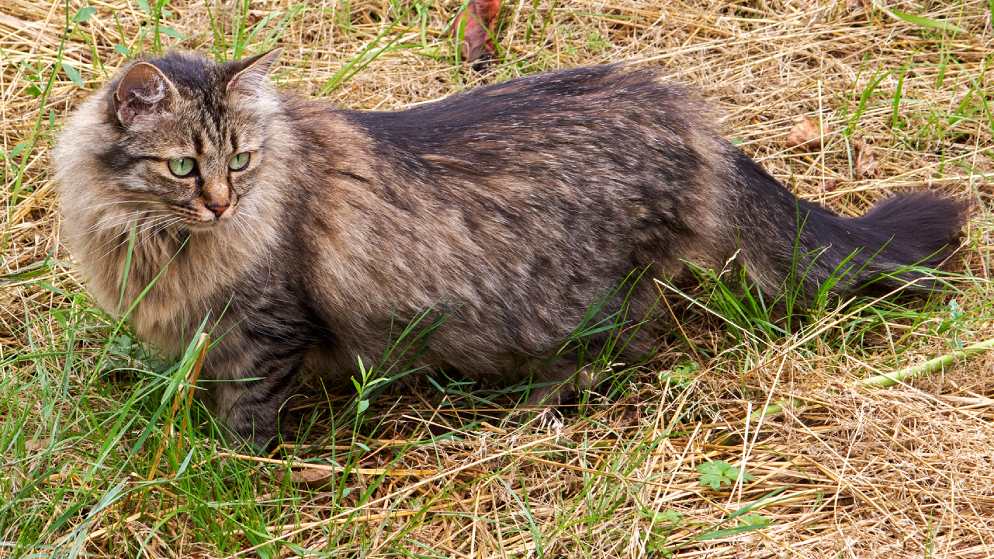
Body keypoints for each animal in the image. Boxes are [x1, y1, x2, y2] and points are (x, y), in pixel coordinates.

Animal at [52, 50, 960, 448]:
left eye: (238, 159)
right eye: (184, 166)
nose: (222, 201)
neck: (154, 241)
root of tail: (685, 118)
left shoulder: (265, 324)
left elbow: (246, 411)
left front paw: (231, 462)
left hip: (577, 298)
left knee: (625, 341)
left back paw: (538, 404)